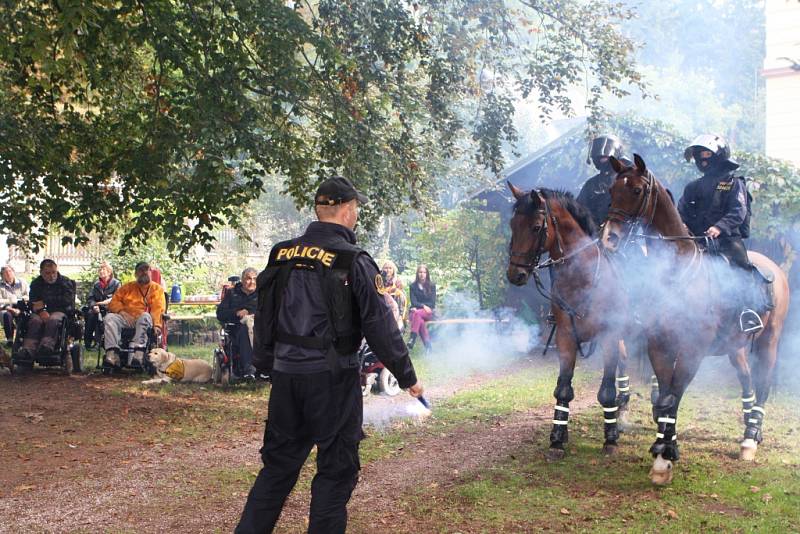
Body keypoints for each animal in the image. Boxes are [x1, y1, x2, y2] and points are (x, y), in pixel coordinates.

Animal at [506, 184, 632, 460]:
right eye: (512, 224)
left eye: (536, 227)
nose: (515, 274)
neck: (582, 277)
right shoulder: (566, 336)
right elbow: (563, 388)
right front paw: (557, 439)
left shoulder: (608, 335)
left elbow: (606, 390)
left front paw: (610, 438)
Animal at [604, 155, 792, 486]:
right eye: (613, 189)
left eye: (637, 190)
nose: (608, 238)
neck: (676, 274)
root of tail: (776, 270)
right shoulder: (659, 346)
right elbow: (665, 398)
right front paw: (664, 449)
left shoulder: (692, 351)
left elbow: (674, 396)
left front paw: (665, 456)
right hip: (736, 348)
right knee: (747, 382)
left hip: (769, 341)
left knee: (763, 384)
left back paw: (751, 437)